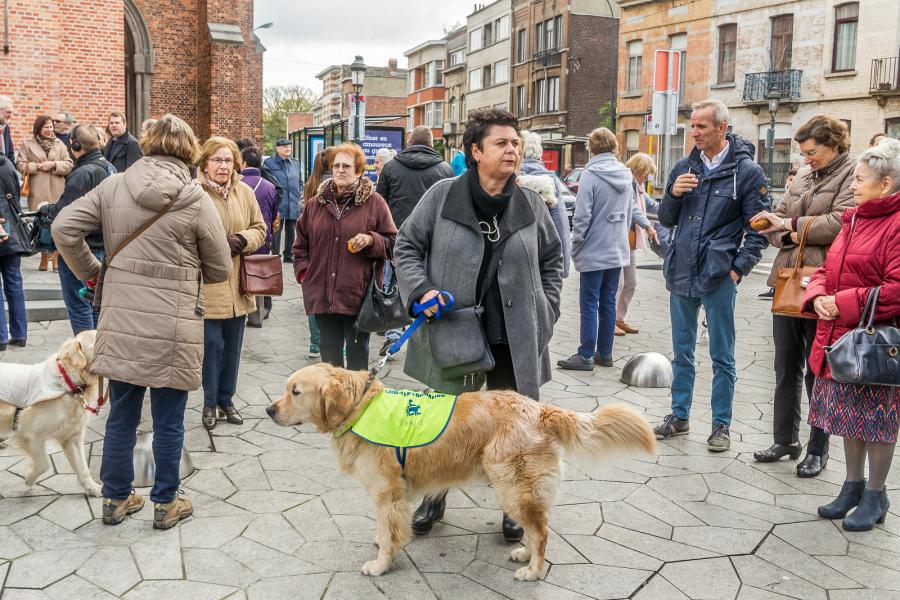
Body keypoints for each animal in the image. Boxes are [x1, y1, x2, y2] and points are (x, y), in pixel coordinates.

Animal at [0, 330, 103, 494]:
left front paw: (93, 488)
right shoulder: (32, 435)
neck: (69, 383)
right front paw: (29, 479)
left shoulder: (72, 436)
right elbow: (44, 464)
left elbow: (83, 468)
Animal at [268, 364, 652, 580]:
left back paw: (532, 571)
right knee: (537, 529)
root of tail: (539, 408)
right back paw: (525, 554)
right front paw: (381, 541)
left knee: (542, 532)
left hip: (512, 488)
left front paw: (380, 565)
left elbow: (390, 536)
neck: (360, 406)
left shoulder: (387, 491)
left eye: (295, 391)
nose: (269, 410)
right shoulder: (389, 495)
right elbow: (386, 528)